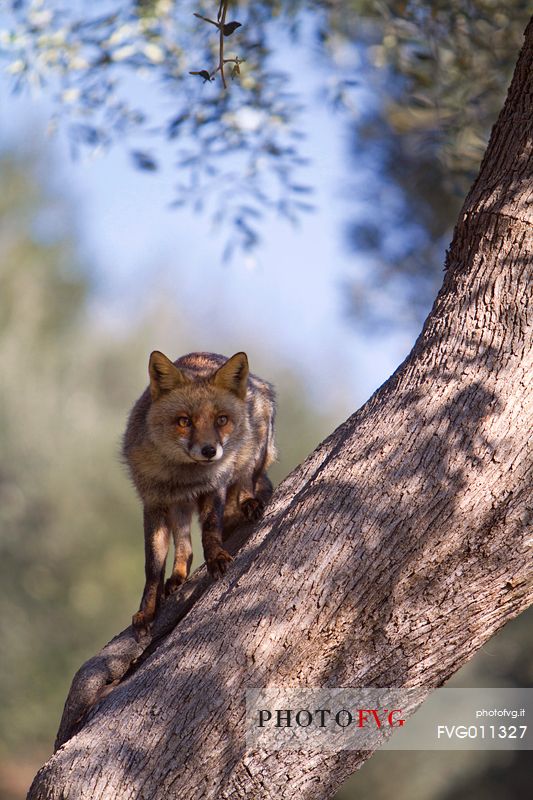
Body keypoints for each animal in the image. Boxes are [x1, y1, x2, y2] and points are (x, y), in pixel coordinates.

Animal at [122, 350, 276, 636]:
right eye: (184, 421)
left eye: (221, 420)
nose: (209, 451)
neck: (184, 477)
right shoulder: (154, 502)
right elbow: (152, 568)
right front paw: (147, 611)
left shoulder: (215, 485)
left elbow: (211, 530)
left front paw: (216, 558)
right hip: (179, 508)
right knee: (184, 546)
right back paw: (178, 577)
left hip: (256, 444)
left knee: (246, 478)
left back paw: (249, 501)